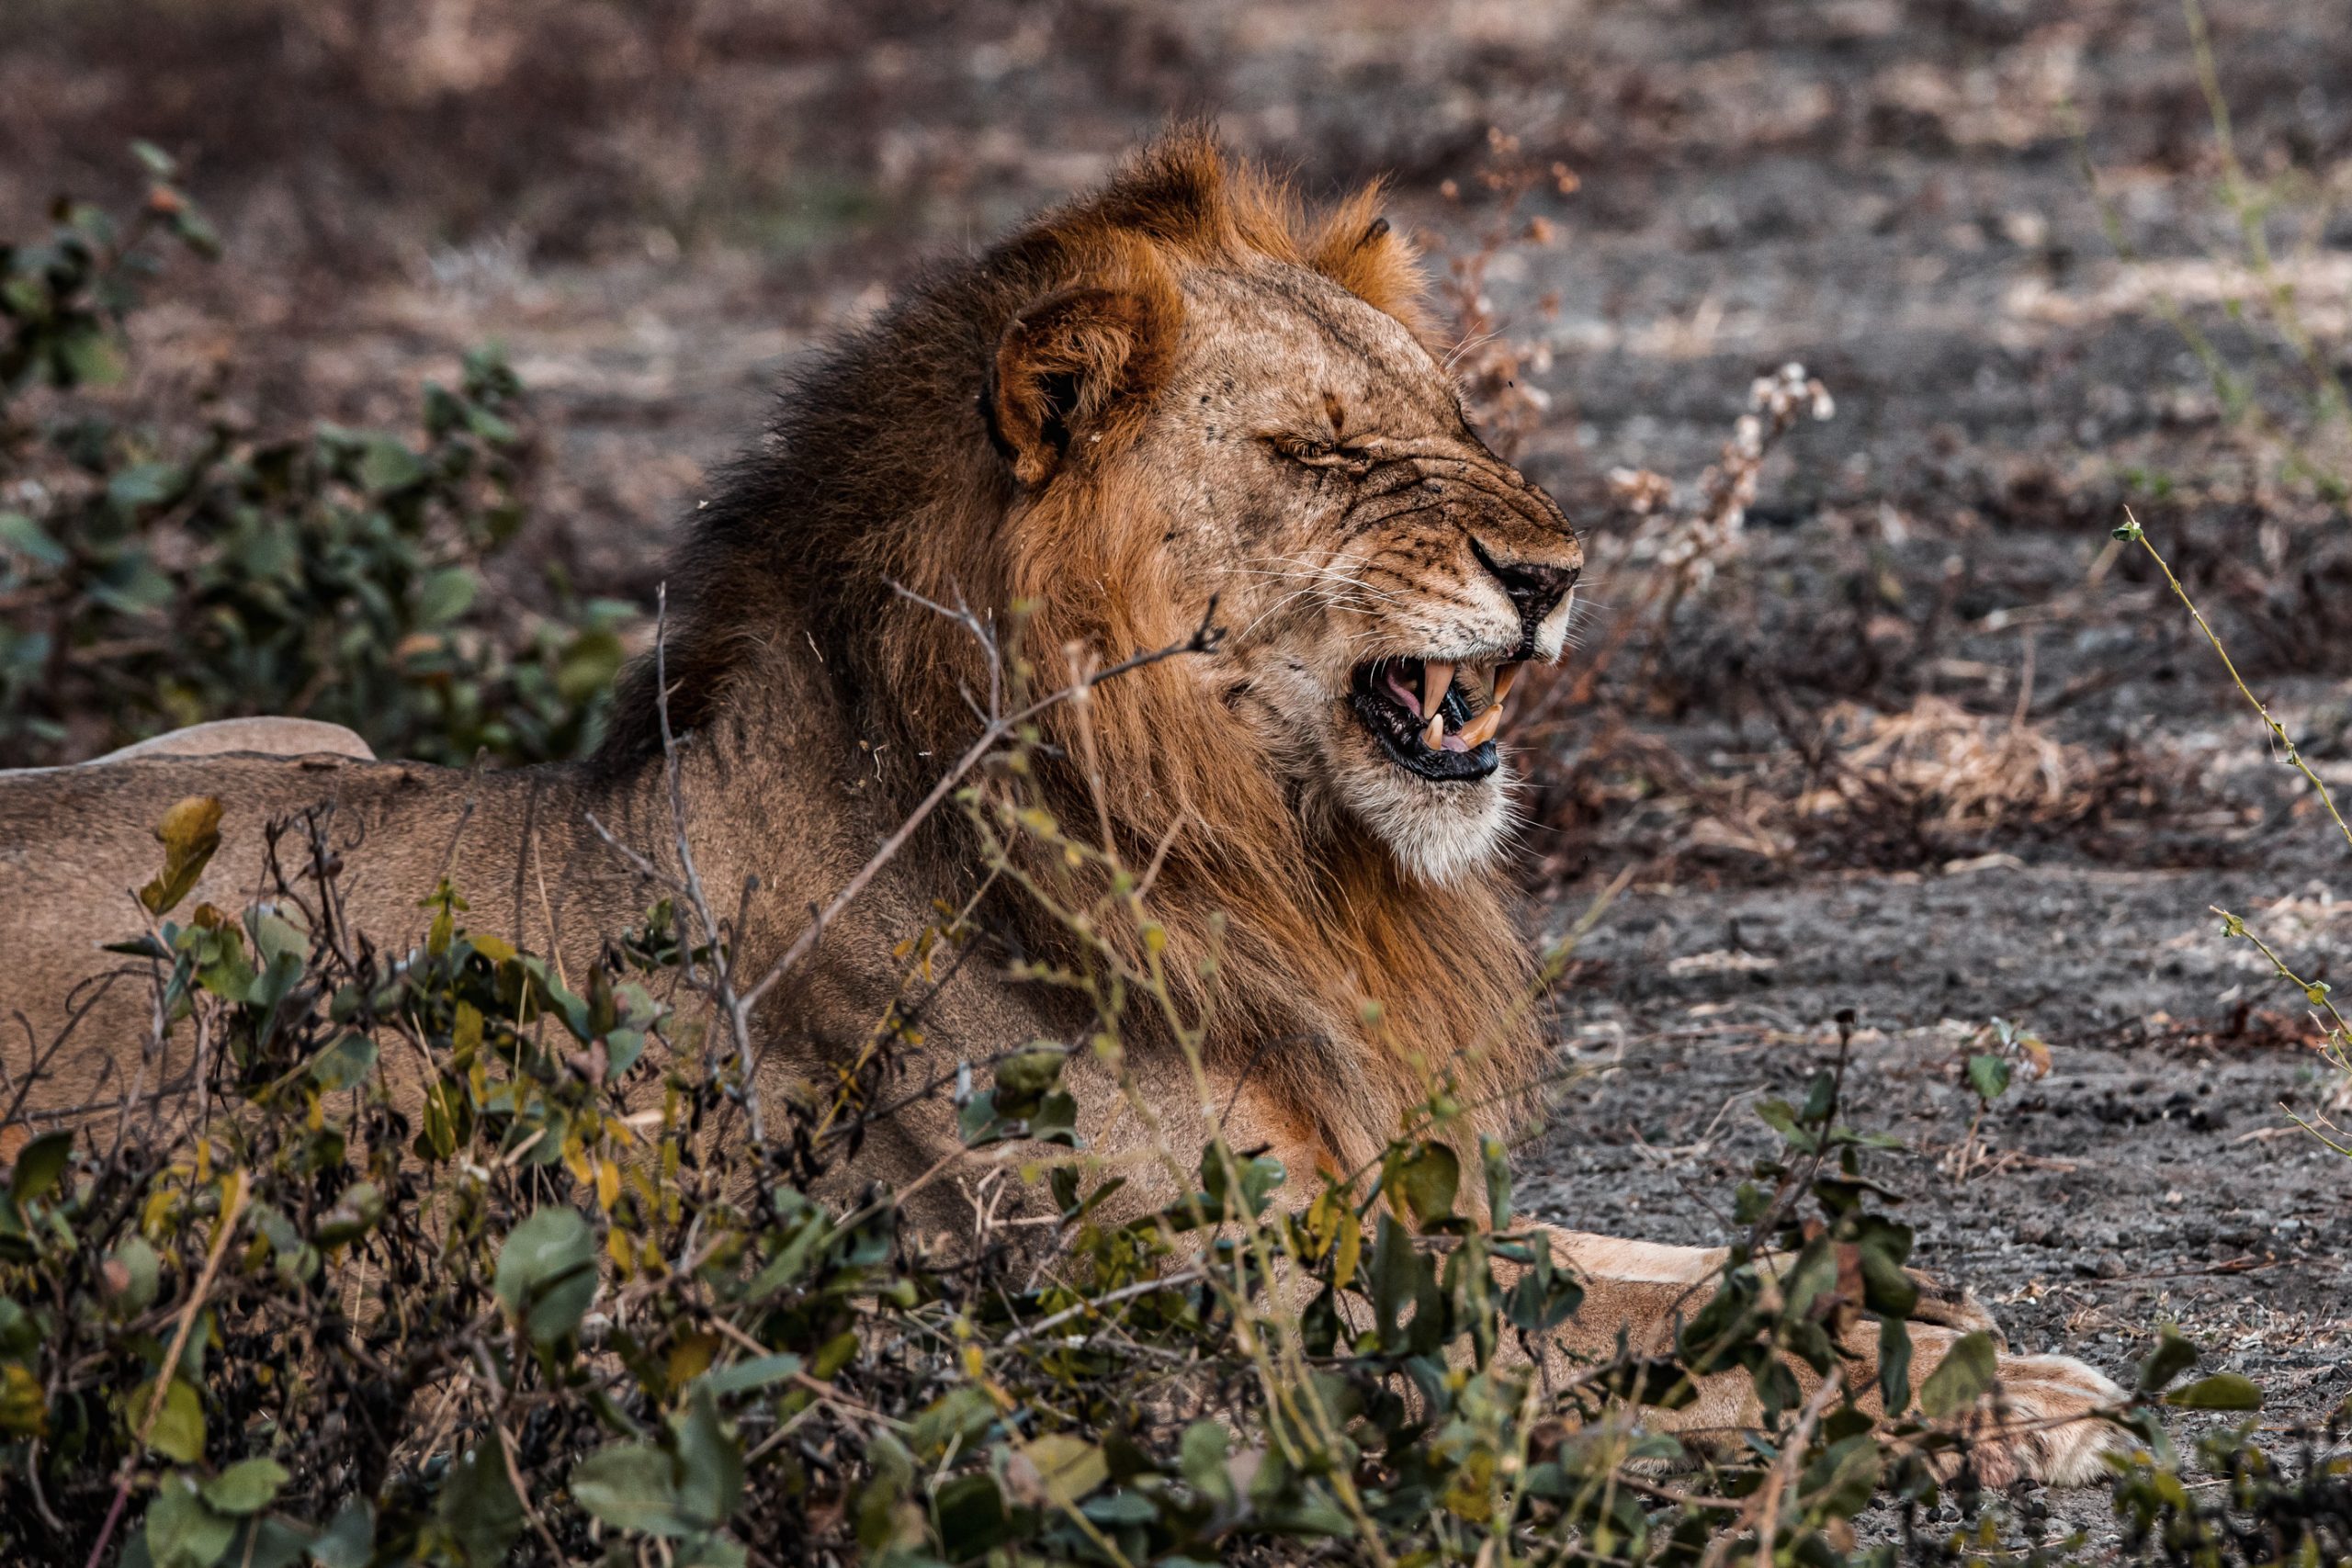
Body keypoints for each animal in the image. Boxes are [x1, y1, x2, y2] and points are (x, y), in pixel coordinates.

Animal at [0, 134, 2123, 1484]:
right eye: (1327, 453)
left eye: (1456, 425)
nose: (1557, 570)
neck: (1254, 850)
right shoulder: (1211, 1336)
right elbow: (1635, 1357)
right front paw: (1985, 1401)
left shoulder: (1378, 1214)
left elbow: (1691, 1277)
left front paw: (1980, 1335)